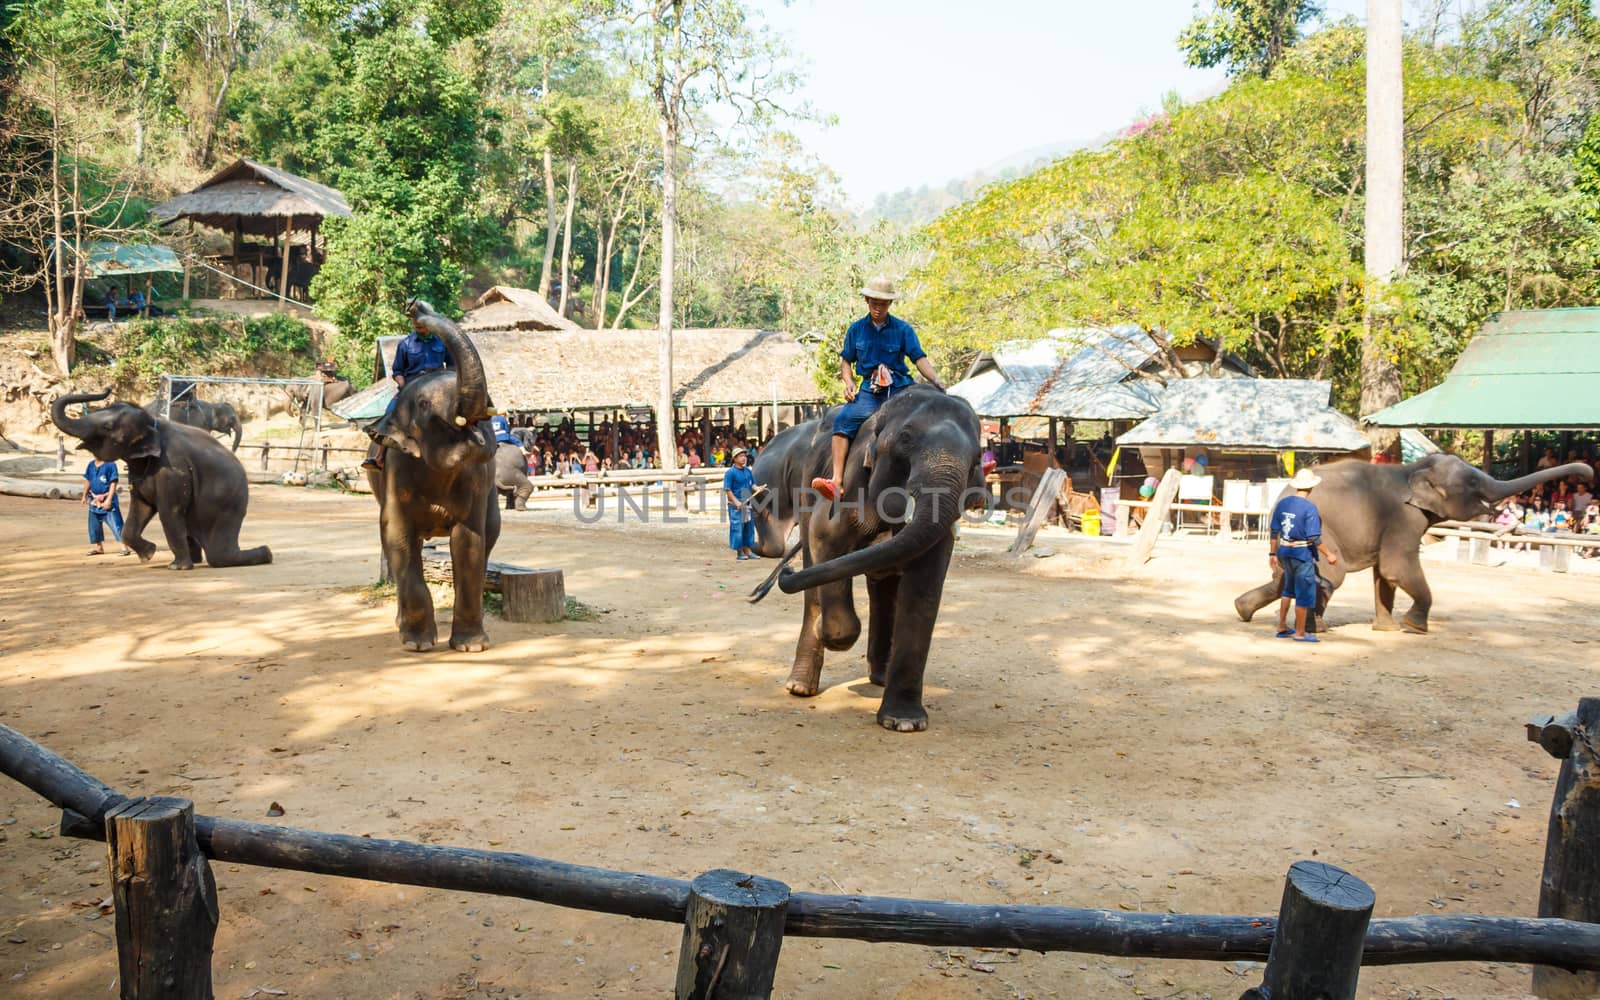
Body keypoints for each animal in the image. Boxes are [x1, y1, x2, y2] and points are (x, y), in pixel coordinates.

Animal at [54, 388, 273, 566]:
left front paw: (176, 566)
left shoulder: (173, 469)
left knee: (219, 554)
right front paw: (148, 555)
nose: (108, 389)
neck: (154, 423)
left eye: (108, 426)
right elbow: (141, 507)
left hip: (226, 504)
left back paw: (266, 553)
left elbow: (169, 511)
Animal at [366, 300, 496, 652]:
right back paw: (402, 628)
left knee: (491, 534)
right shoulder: (396, 470)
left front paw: (471, 646)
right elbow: (398, 535)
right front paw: (417, 645)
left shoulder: (475, 479)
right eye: (424, 404)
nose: (417, 307)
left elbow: (469, 541)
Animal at [745, 385, 979, 729]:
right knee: (815, 573)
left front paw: (903, 722)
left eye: (976, 458)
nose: (784, 572)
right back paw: (800, 686)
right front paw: (829, 634)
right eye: (906, 439)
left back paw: (880, 677)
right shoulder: (849, 486)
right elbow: (824, 537)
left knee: (881, 587)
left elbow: (924, 587)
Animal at [1228, 454, 1593, 630]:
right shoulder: (1404, 517)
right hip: (1321, 533)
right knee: (1332, 575)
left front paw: (1387, 630)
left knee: (1286, 577)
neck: (1415, 469)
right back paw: (1318, 628)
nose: (1588, 474)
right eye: (1473, 483)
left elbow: (1383, 575)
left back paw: (1242, 610)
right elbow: (1396, 567)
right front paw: (1414, 627)